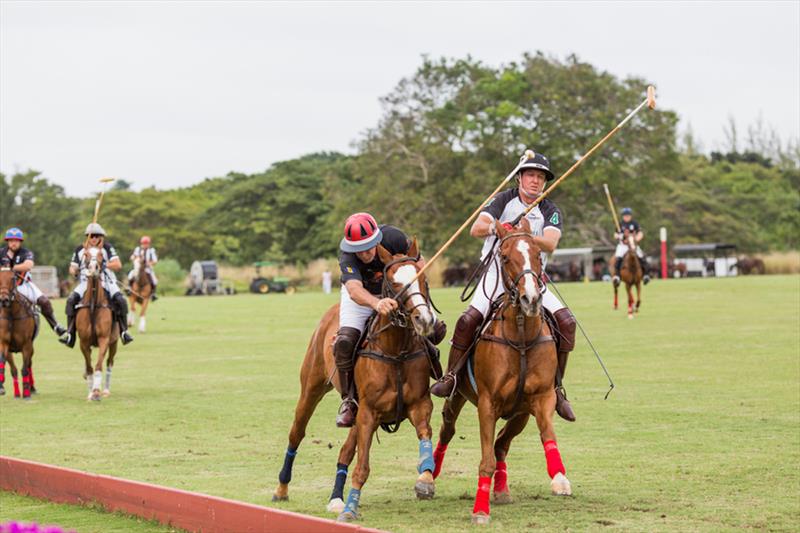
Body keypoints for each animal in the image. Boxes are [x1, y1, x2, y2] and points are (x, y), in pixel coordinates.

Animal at [0, 262, 37, 400]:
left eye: (12, 278)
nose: (4, 300)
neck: (11, 314)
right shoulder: (3, 343)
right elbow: (4, 362)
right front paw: (2, 387)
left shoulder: (26, 344)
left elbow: (25, 368)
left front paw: (26, 393)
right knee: (14, 369)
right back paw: (16, 393)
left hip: (31, 347)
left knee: (29, 364)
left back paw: (31, 388)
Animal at [77, 245, 119, 400]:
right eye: (86, 254)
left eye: (101, 254)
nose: (93, 268)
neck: (94, 306)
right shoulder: (83, 342)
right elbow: (89, 367)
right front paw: (91, 392)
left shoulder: (104, 339)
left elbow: (98, 365)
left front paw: (96, 391)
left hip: (114, 342)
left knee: (109, 363)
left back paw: (105, 390)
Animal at [274, 237, 438, 520]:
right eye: (393, 283)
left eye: (423, 278)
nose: (425, 320)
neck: (395, 351)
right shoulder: (369, 413)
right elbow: (363, 467)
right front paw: (351, 510)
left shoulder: (419, 404)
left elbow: (425, 435)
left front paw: (425, 480)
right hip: (312, 388)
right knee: (296, 433)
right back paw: (282, 489)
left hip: (356, 410)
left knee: (345, 450)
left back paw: (336, 498)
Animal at [432, 219, 568, 524]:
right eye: (504, 257)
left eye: (537, 253)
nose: (531, 299)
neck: (521, 337)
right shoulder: (488, 403)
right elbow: (485, 462)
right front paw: (480, 511)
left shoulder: (543, 398)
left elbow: (548, 435)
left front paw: (560, 478)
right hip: (457, 396)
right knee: (448, 430)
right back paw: (427, 478)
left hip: (521, 414)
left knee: (501, 444)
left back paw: (502, 491)